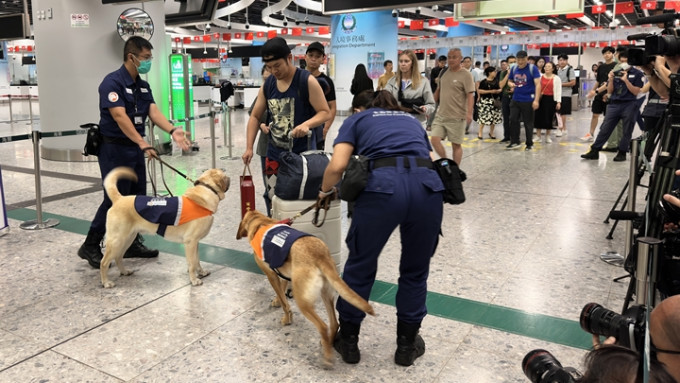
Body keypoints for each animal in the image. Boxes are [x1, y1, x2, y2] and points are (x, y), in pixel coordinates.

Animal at [99, 166, 230, 290]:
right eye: (223, 173)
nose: (229, 178)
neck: (207, 190)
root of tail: (119, 198)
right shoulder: (190, 242)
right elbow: (192, 263)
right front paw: (194, 280)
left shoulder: (195, 243)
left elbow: (197, 260)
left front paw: (201, 272)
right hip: (117, 240)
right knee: (104, 262)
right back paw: (106, 282)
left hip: (127, 239)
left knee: (118, 257)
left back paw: (124, 271)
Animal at [238, 210, 378, 368]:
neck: (261, 222)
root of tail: (320, 255)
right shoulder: (283, 274)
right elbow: (282, 292)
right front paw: (277, 301)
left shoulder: (271, 275)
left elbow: (285, 303)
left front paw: (286, 318)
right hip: (326, 294)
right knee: (334, 323)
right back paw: (327, 343)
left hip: (303, 302)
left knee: (323, 326)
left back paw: (327, 357)